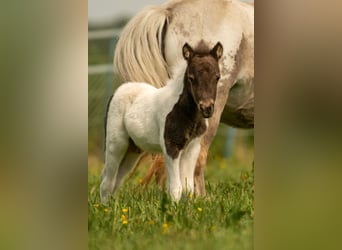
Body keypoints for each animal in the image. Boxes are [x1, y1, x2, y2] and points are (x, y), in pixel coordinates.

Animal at [100, 40, 223, 201]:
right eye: (191, 78)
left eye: (217, 77)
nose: (207, 108)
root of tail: (118, 91)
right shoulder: (171, 147)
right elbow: (176, 188)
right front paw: (174, 208)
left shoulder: (192, 148)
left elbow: (188, 187)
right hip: (116, 144)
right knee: (107, 182)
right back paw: (104, 206)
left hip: (133, 150)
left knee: (117, 180)